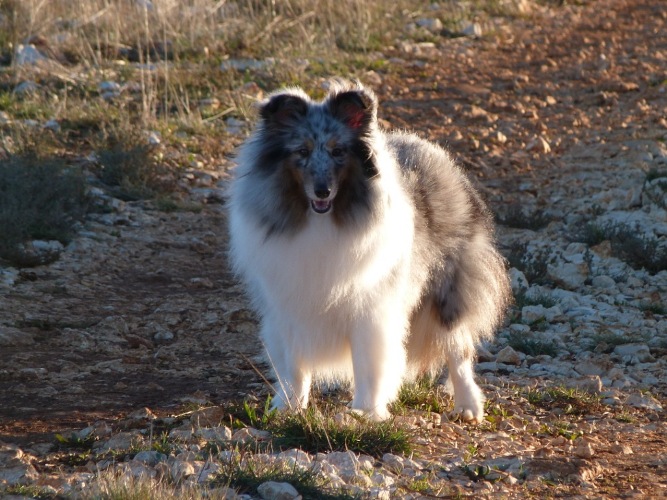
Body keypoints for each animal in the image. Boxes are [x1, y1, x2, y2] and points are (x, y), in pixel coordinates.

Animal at [227, 82, 508, 422]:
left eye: (338, 151)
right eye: (302, 152)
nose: (322, 191)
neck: (322, 221)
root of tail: (433, 151)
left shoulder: (370, 307)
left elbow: (368, 363)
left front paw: (366, 412)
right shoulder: (287, 308)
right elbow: (293, 366)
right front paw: (288, 409)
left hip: (447, 294)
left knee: (458, 349)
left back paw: (467, 407)